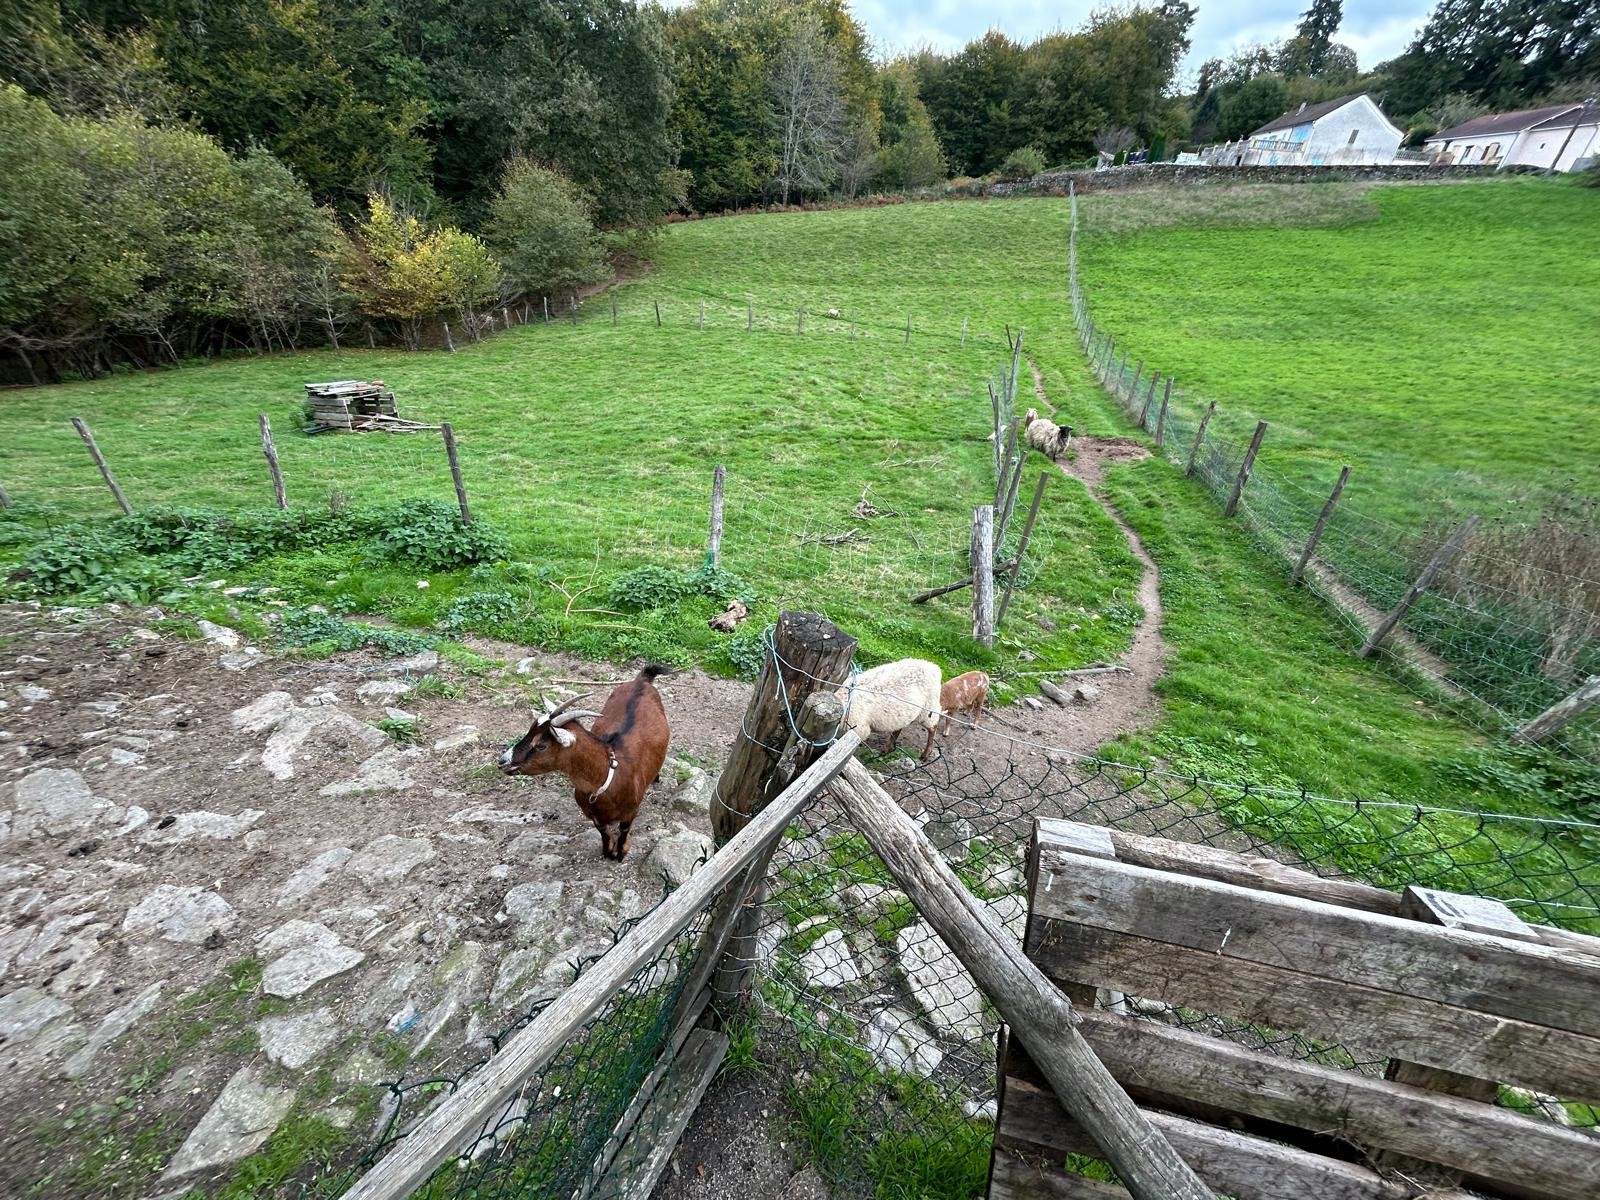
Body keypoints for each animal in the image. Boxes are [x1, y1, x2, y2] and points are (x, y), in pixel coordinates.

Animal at [502, 668, 672, 864]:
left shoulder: (631, 812)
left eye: (540, 745)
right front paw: (608, 851)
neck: (607, 778)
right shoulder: (593, 815)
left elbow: (623, 832)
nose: (502, 761)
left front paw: (620, 853)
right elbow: (603, 832)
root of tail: (641, 680)